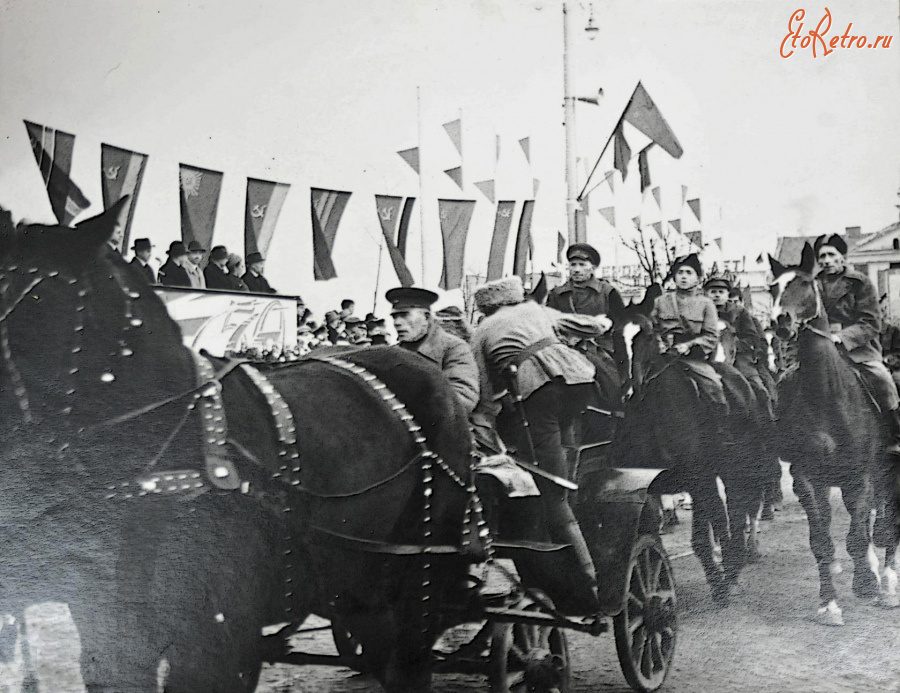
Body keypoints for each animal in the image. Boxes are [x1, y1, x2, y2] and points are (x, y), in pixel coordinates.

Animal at [604, 284, 772, 604]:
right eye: (615, 337)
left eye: (648, 335)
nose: (629, 391)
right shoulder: (645, 490)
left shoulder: (699, 479)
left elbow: (703, 537)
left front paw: (720, 587)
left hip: (734, 469)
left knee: (736, 510)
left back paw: (736, 562)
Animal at [768, 246, 896, 624]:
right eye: (772, 288)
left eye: (805, 285)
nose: (780, 321)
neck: (827, 394)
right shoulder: (809, 479)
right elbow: (821, 541)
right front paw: (829, 603)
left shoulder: (862, 477)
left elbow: (856, 536)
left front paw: (867, 585)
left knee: (886, 527)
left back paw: (887, 582)